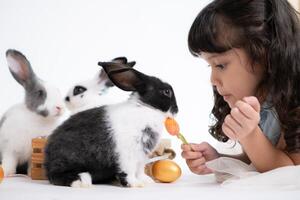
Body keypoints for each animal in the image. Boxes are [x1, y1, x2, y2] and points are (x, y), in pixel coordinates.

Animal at [44, 58, 178, 188]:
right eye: (166, 92)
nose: (177, 110)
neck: (146, 107)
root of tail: (47, 160)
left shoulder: (142, 156)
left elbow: (140, 170)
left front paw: (146, 181)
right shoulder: (127, 154)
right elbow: (129, 170)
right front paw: (135, 184)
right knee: (56, 176)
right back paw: (81, 181)